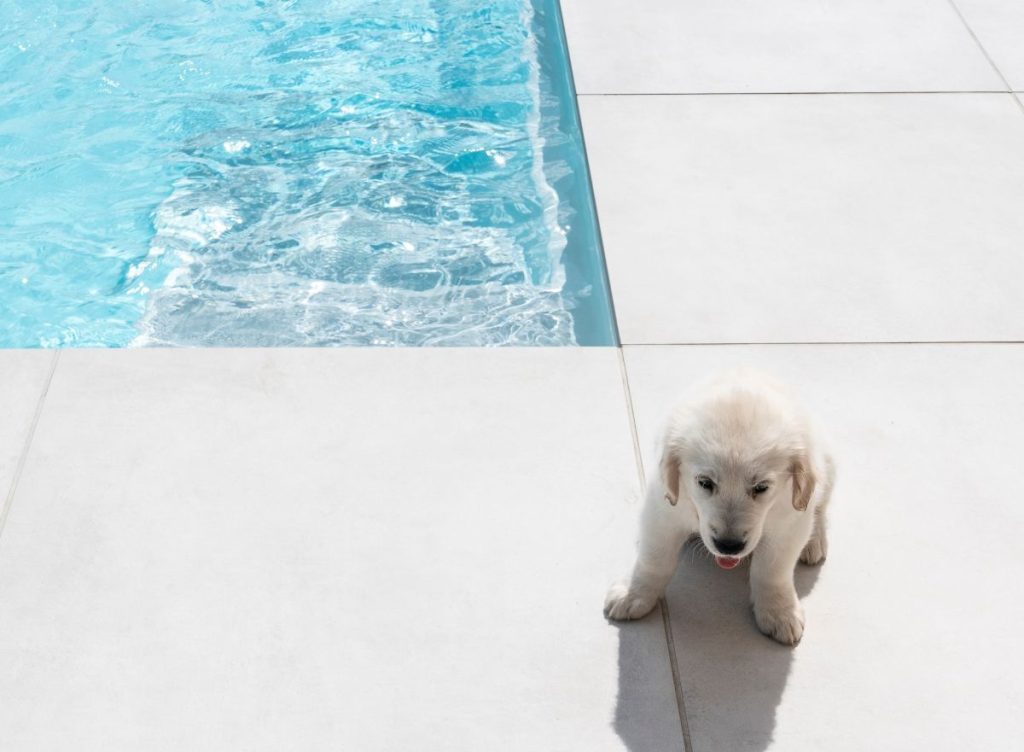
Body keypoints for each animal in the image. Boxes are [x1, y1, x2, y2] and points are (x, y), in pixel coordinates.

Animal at [602, 374, 835, 643]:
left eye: (761, 487)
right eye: (705, 483)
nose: (729, 546)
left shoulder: (788, 524)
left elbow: (772, 571)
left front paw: (779, 612)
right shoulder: (663, 511)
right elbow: (654, 559)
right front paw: (633, 593)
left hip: (827, 466)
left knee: (820, 507)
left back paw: (813, 542)